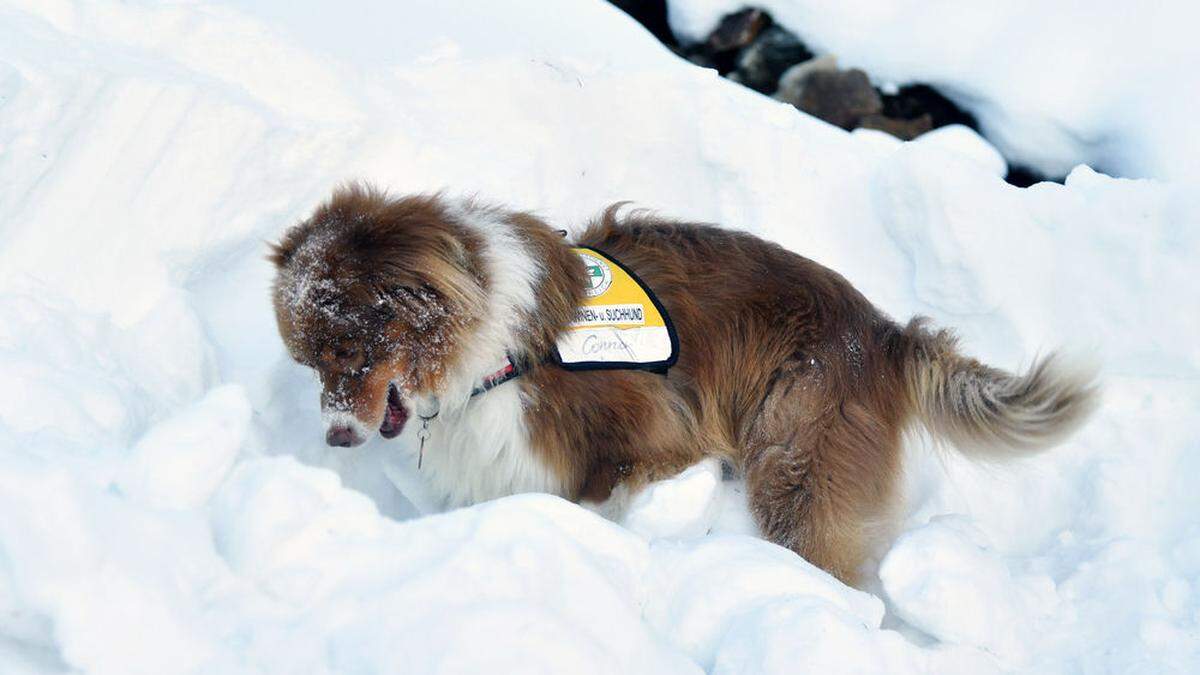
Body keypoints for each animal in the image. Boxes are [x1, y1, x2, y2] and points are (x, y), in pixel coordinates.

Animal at [270, 183, 1099, 583]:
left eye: (349, 349)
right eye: (310, 361)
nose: (334, 436)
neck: (496, 343)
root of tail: (884, 332)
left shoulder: (654, 433)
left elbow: (601, 498)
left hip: (794, 461)